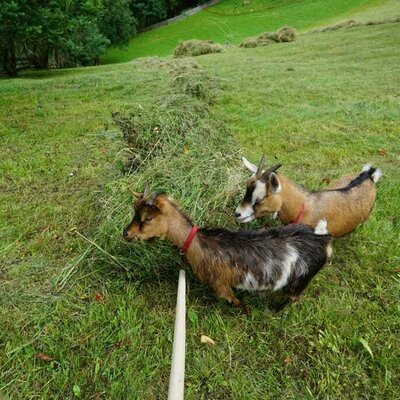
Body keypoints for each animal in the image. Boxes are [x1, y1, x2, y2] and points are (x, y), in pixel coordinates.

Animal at [123, 183, 332, 308]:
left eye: (148, 218)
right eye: (134, 212)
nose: (126, 233)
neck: (199, 243)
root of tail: (323, 240)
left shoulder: (220, 285)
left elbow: (234, 300)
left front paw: (243, 307)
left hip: (301, 279)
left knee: (295, 297)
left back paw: (278, 308)